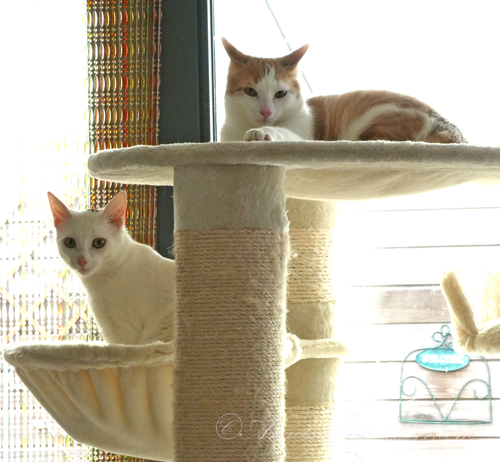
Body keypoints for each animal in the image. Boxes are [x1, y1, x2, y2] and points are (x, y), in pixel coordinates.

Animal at [220, 38, 466, 144]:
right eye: (250, 92)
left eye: (280, 94)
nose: (266, 112)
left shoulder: (302, 135)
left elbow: (283, 133)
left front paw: (260, 133)